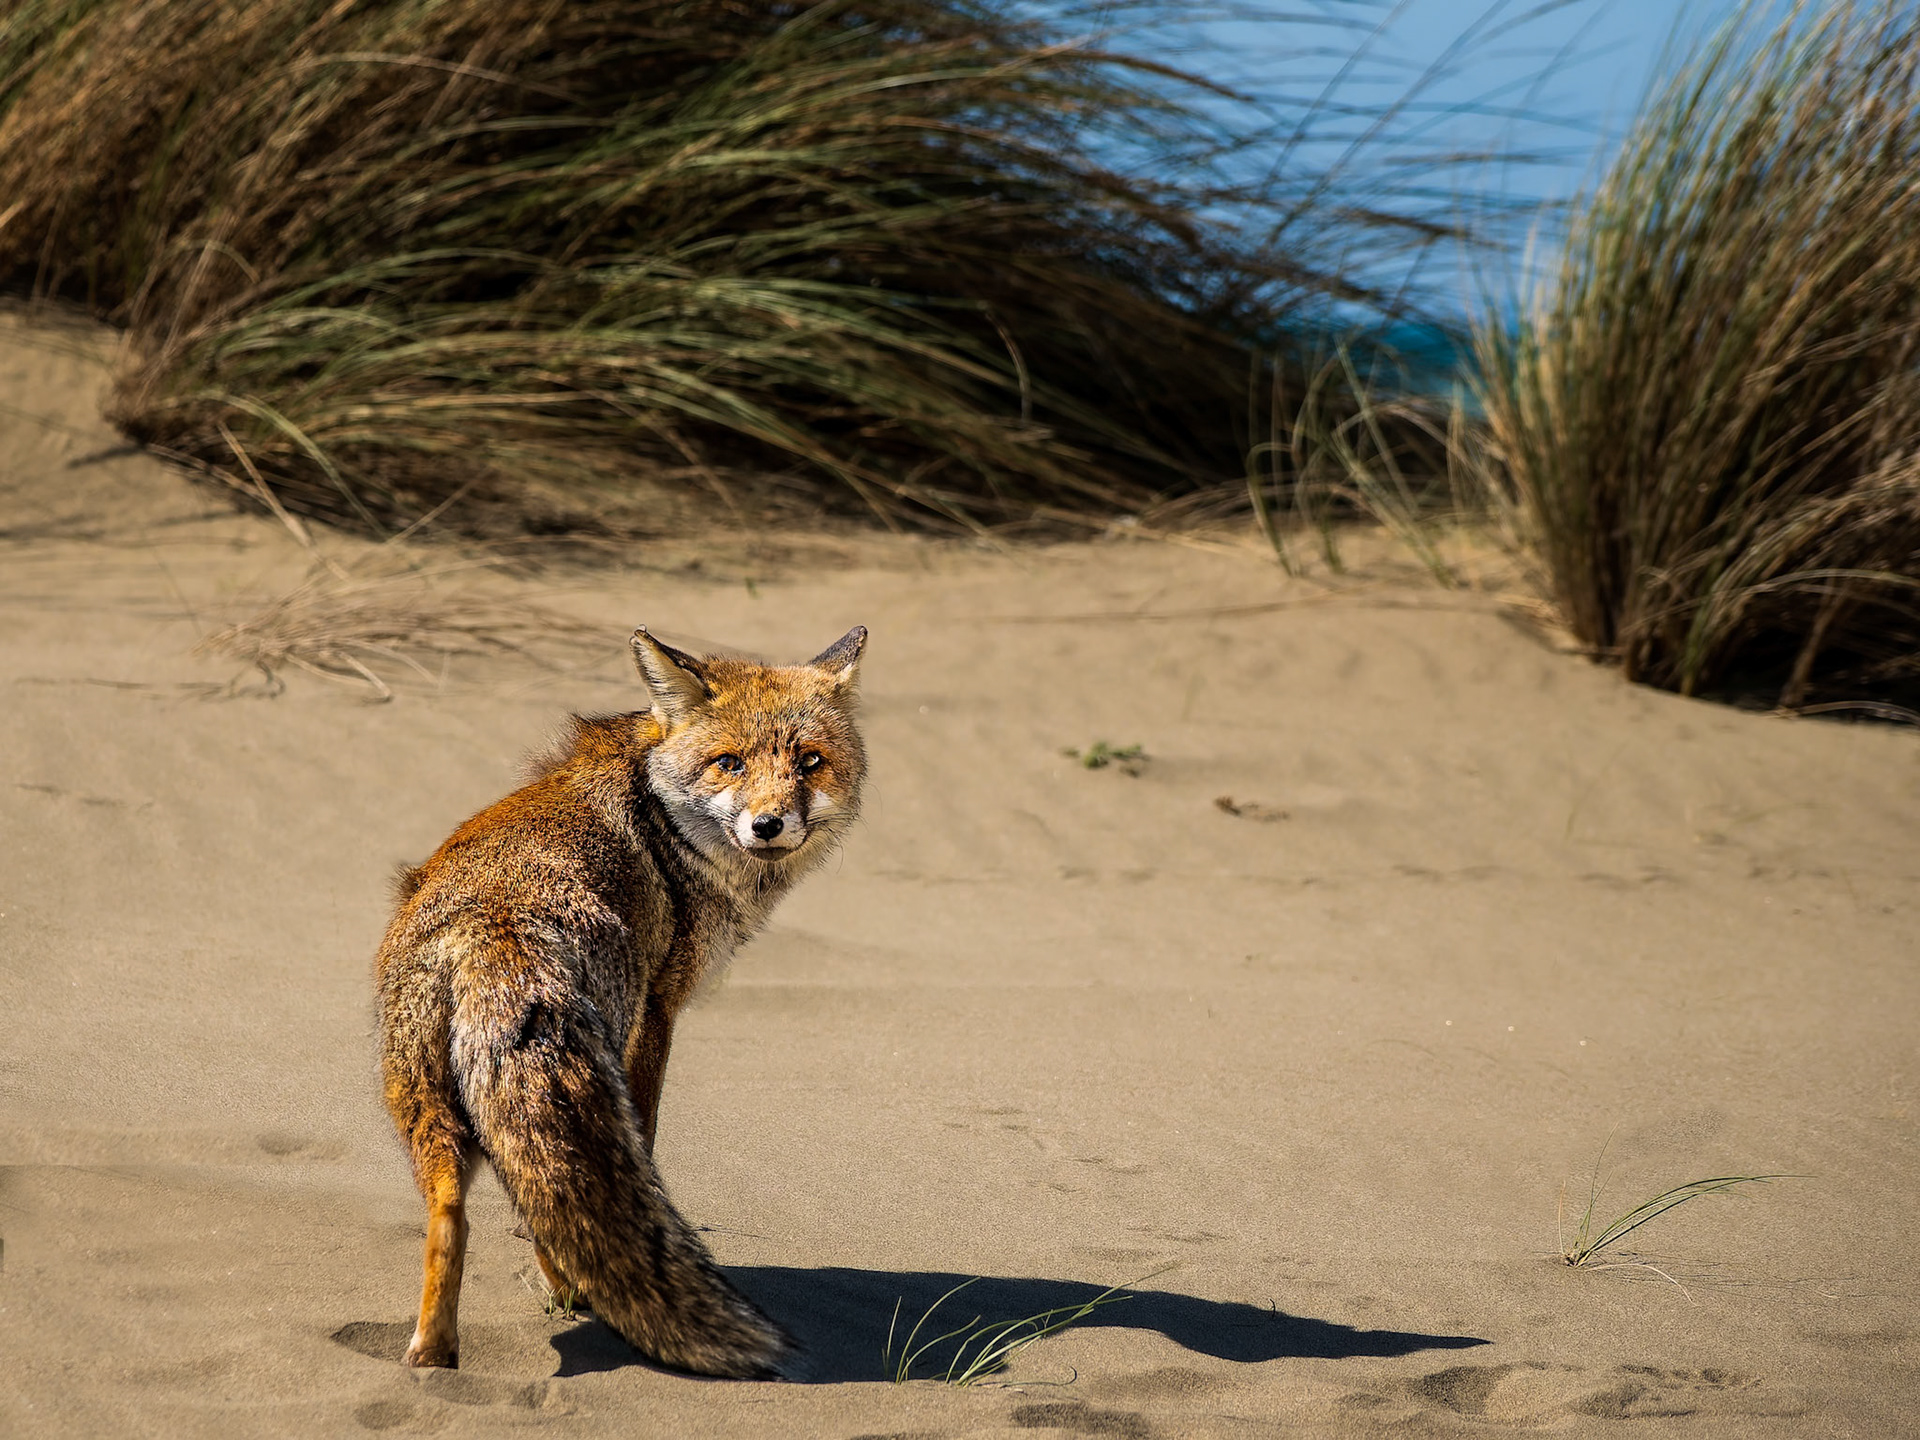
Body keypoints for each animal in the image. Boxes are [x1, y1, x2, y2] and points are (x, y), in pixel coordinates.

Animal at [374, 624, 867, 1379]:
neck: (664, 818)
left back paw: (434, 1353)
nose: (769, 825)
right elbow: (650, 1142)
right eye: (728, 764)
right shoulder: (658, 1013)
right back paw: (568, 1296)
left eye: (810, 762)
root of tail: (494, 925)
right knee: (555, 1212)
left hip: (424, 1109)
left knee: (457, 1213)